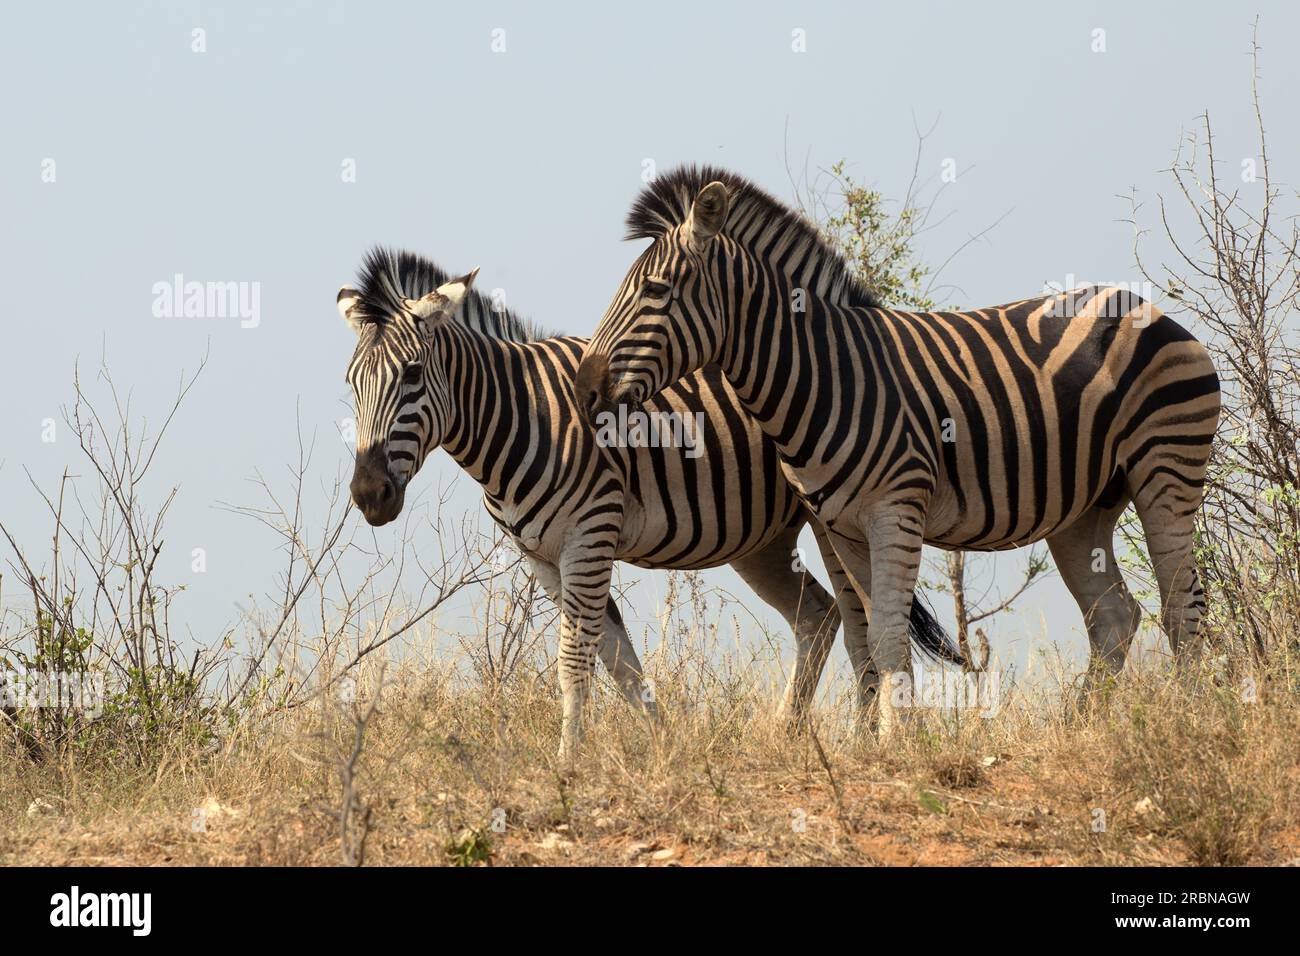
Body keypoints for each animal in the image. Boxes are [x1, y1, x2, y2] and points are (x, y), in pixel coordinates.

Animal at [337, 248, 964, 760]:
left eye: (413, 374)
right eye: (350, 383)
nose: (369, 495)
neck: (523, 415)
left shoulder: (590, 535)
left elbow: (575, 658)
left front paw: (569, 763)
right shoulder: (542, 557)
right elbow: (618, 660)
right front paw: (662, 744)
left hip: (834, 515)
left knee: (856, 621)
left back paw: (863, 744)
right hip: (761, 540)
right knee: (819, 613)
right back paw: (789, 732)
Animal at [576, 166, 1222, 731]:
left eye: (655, 290)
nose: (584, 390)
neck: (824, 374)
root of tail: (1147, 308)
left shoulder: (895, 510)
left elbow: (885, 635)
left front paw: (899, 742)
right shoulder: (843, 527)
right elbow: (874, 637)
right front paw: (892, 741)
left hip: (1165, 470)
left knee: (1180, 607)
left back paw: (1190, 726)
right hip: (1084, 508)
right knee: (1114, 617)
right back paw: (1081, 728)